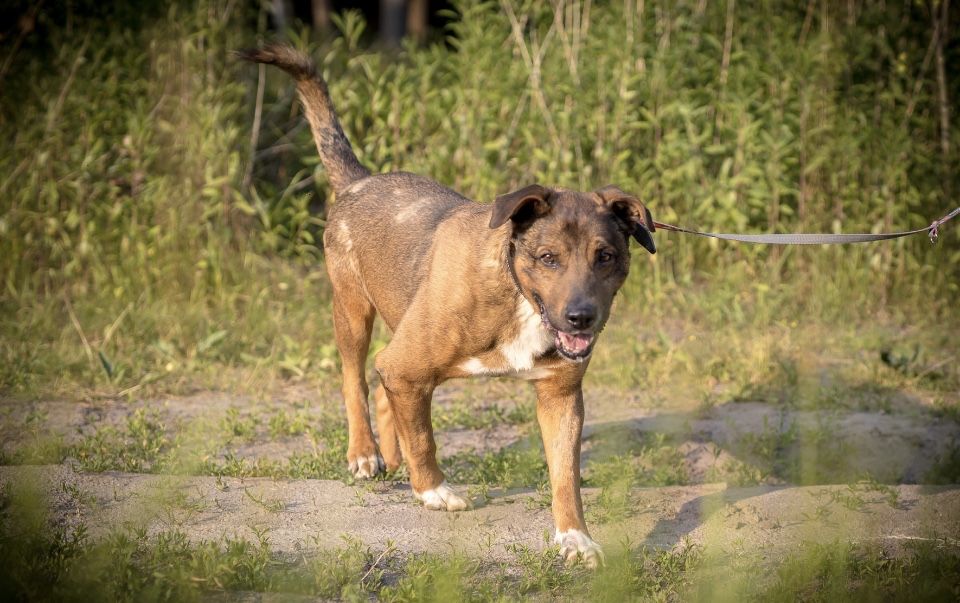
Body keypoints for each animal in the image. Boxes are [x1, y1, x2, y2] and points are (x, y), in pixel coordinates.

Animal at [242, 43, 660, 568]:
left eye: (605, 256)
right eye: (548, 258)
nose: (581, 317)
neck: (516, 294)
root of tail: (360, 181)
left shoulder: (560, 397)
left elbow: (566, 477)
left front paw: (574, 538)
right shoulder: (406, 366)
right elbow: (423, 437)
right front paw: (433, 491)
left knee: (384, 391)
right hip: (353, 312)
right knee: (355, 378)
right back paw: (365, 452)